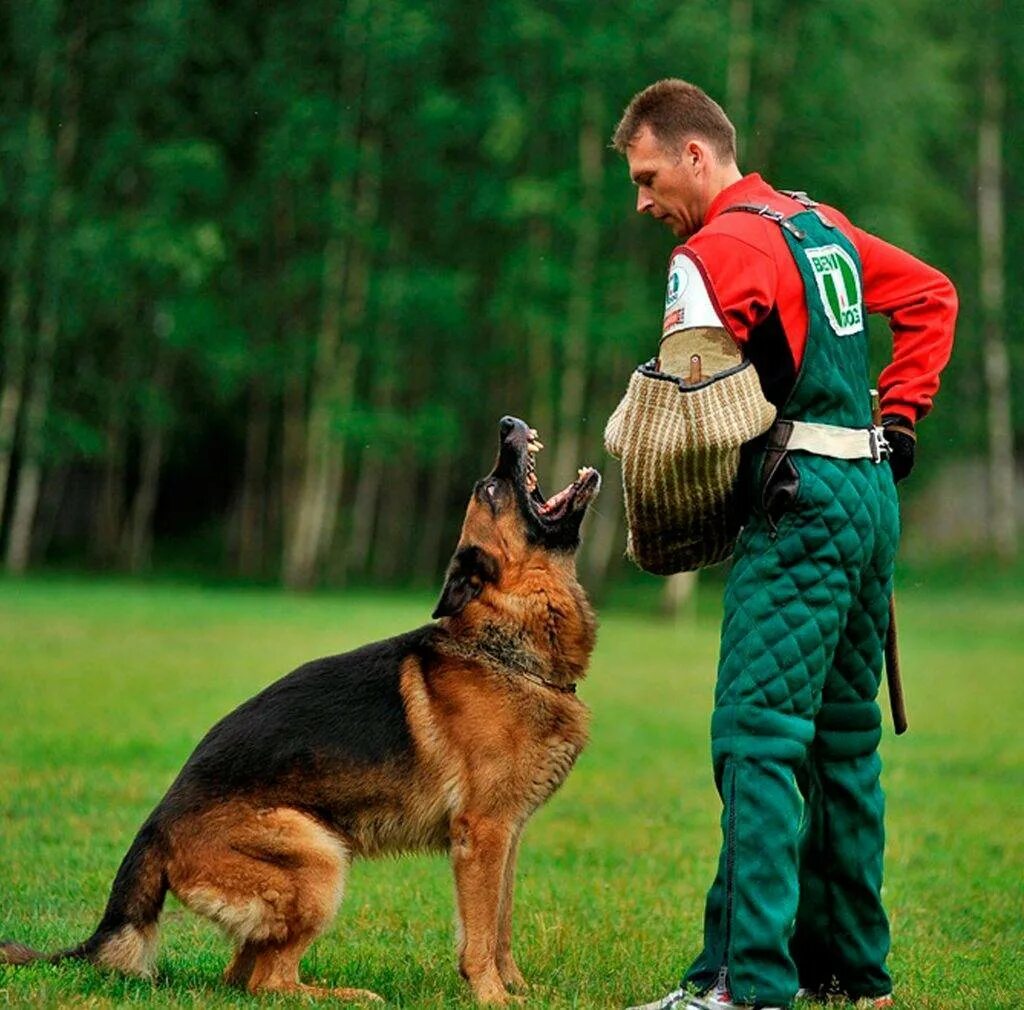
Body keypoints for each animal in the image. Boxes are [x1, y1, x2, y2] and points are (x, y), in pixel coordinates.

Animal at [2, 415, 598, 999]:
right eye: (491, 489)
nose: (507, 422)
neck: (506, 646)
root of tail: (155, 828)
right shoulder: (482, 835)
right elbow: (479, 935)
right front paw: (492, 995)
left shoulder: (508, 836)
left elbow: (501, 924)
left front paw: (518, 987)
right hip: (319, 856)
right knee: (269, 982)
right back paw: (345, 995)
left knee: (240, 977)